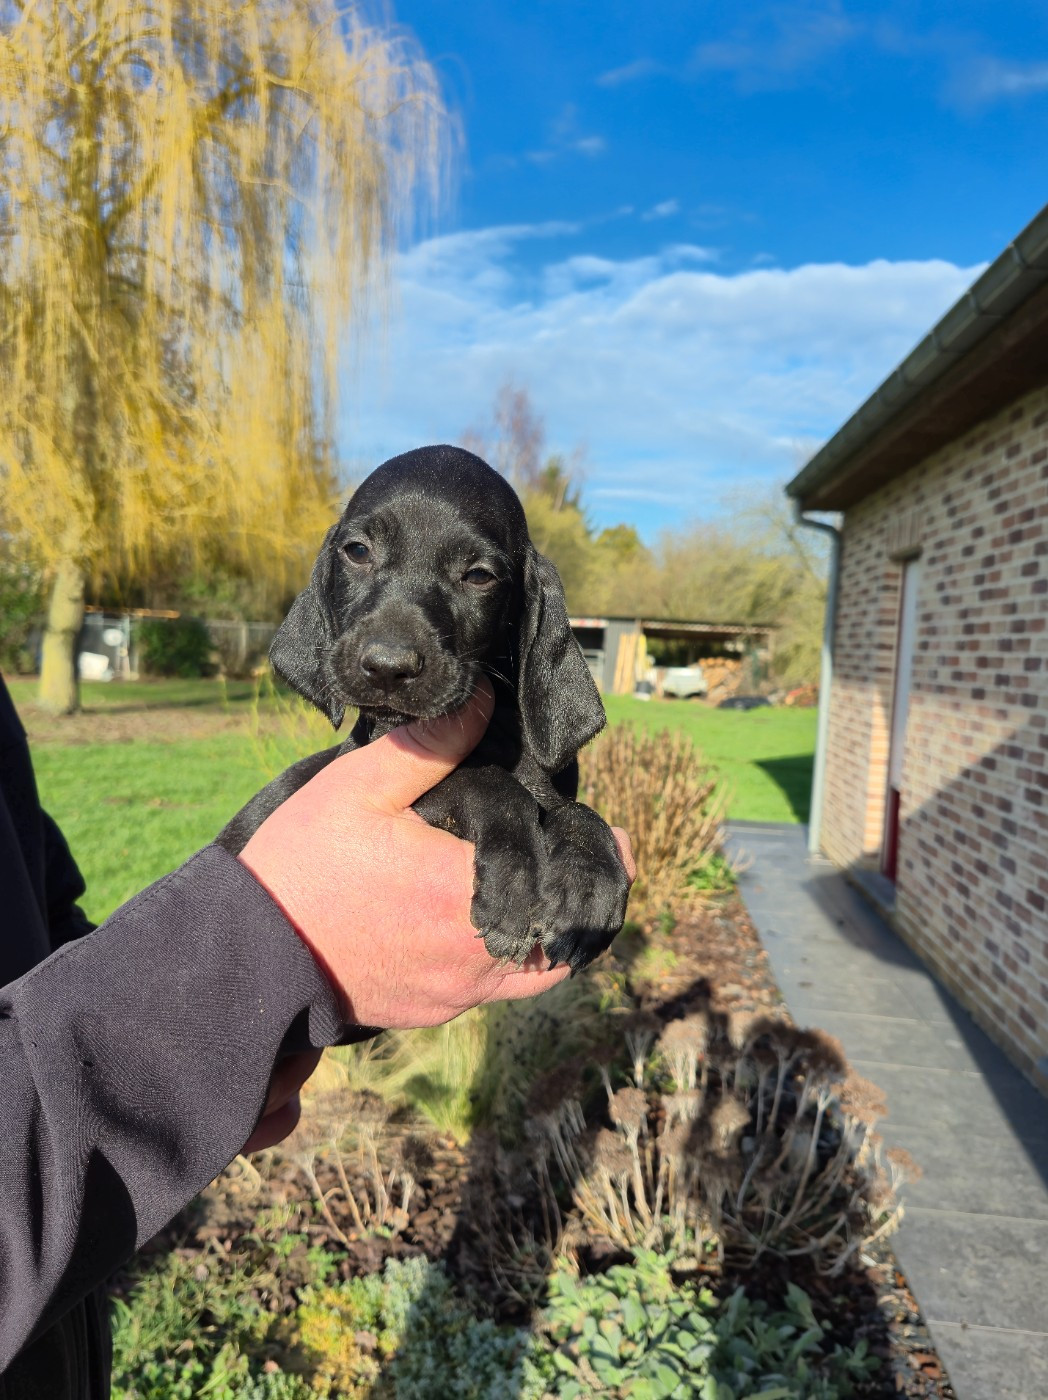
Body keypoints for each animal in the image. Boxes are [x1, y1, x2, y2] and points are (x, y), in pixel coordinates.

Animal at [217, 444, 630, 972]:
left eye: (479, 576)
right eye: (357, 551)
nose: (387, 667)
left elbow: (575, 810)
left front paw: (590, 876)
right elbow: (483, 782)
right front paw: (514, 878)